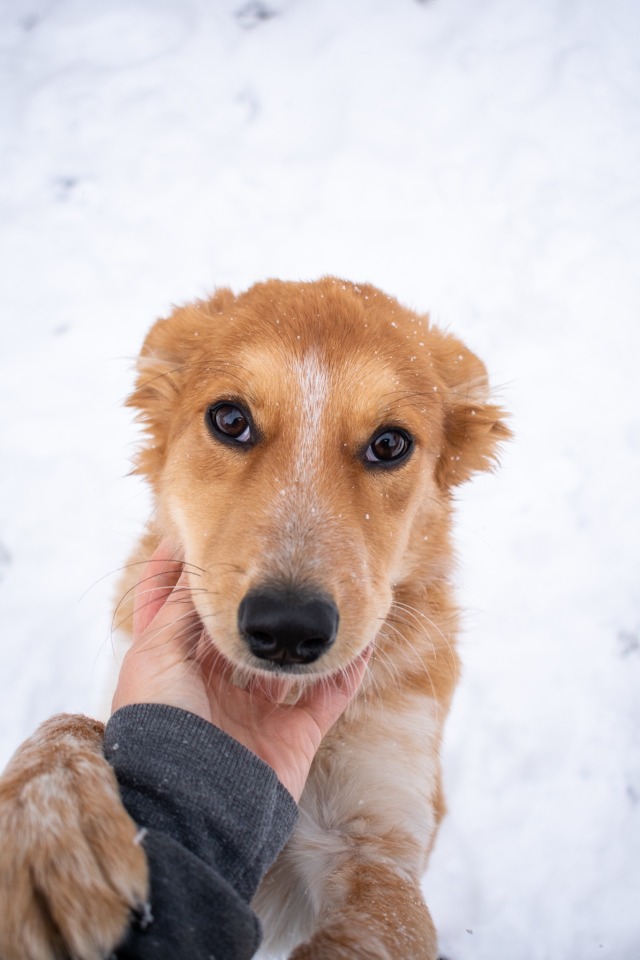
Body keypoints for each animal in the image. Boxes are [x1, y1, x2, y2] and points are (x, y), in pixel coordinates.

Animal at [0, 280, 510, 960]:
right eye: (230, 420)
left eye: (390, 443)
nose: (290, 629)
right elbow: (71, 724)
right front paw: (48, 835)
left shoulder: (379, 845)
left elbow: (373, 926)